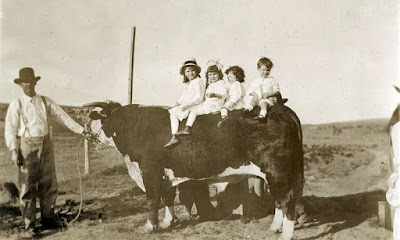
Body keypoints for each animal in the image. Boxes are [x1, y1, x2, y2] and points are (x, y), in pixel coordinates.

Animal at [86, 101, 304, 240]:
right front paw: (168, 222)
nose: (88, 135)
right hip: (276, 175)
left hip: (278, 171)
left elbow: (152, 199)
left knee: (287, 200)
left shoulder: (150, 170)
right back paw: (274, 228)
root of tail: (282, 109)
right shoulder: (165, 173)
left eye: (95, 118)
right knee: (279, 200)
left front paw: (149, 227)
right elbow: (167, 197)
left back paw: (286, 235)